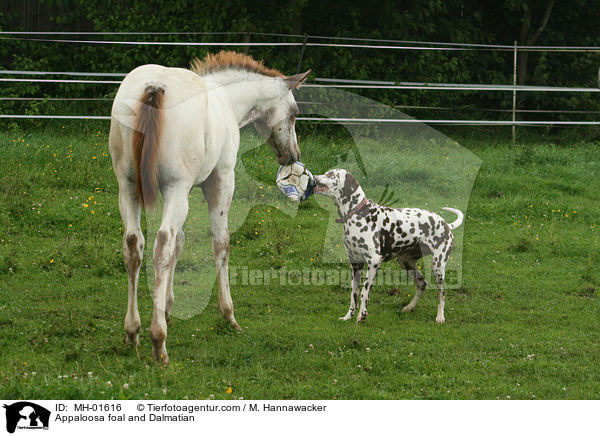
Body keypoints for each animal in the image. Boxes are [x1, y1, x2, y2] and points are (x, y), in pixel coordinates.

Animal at [314, 169, 464, 322]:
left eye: (331, 175)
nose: (314, 177)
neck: (358, 213)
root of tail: (446, 225)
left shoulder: (373, 262)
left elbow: (363, 292)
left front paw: (362, 314)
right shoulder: (355, 264)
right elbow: (353, 295)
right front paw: (348, 316)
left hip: (437, 268)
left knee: (441, 294)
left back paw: (440, 316)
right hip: (406, 263)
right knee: (422, 284)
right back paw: (409, 307)